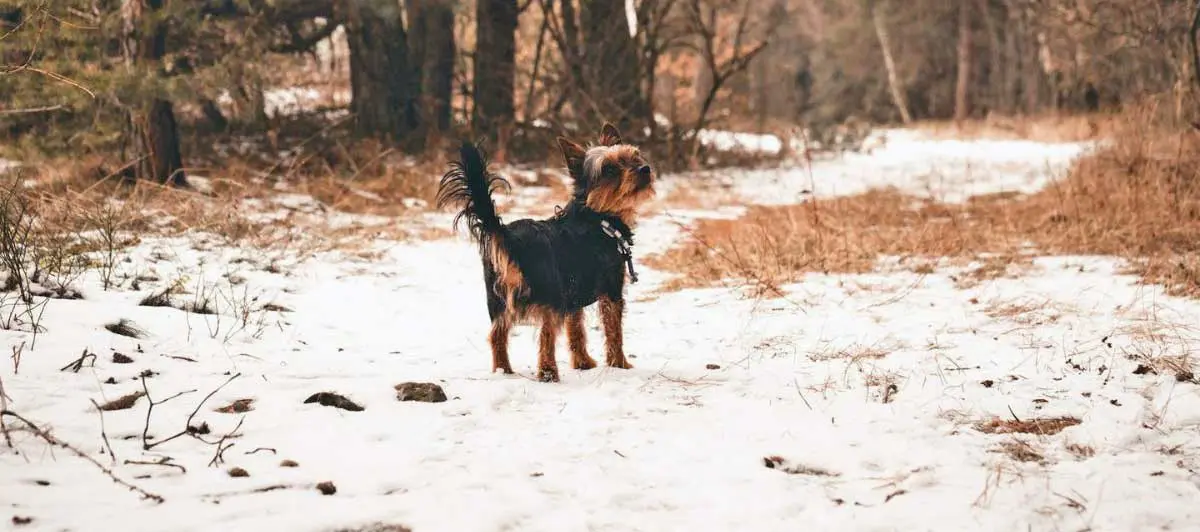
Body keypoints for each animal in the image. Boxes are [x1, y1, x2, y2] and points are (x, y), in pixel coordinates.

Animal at [436, 123, 657, 384]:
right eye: (610, 169)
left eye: (635, 156)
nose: (645, 168)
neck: (598, 217)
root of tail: (508, 236)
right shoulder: (611, 291)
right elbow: (614, 332)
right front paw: (619, 364)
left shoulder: (572, 299)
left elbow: (576, 332)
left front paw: (583, 363)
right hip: (550, 299)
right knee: (546, 336)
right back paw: (548, 372)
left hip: (498, 301)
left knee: (497, 335)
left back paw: (503, 371)